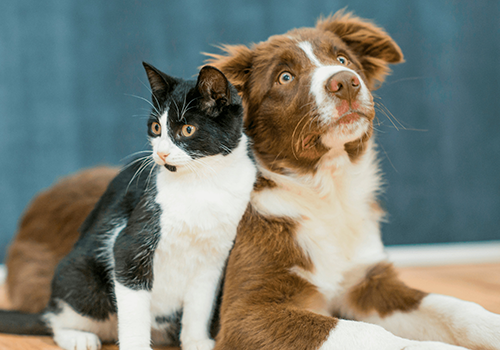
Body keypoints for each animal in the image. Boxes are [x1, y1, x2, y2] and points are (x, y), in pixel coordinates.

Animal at [11, 63, 258, 350]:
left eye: (187, 130)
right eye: (155, 127)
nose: (161, 153)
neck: (202, 182)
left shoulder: (214, 256)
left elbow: (200, 305)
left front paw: (196, 341)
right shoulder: (130, 244)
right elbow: (133, 309)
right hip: (83, 279)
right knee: (57, 316)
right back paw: (77, 336)